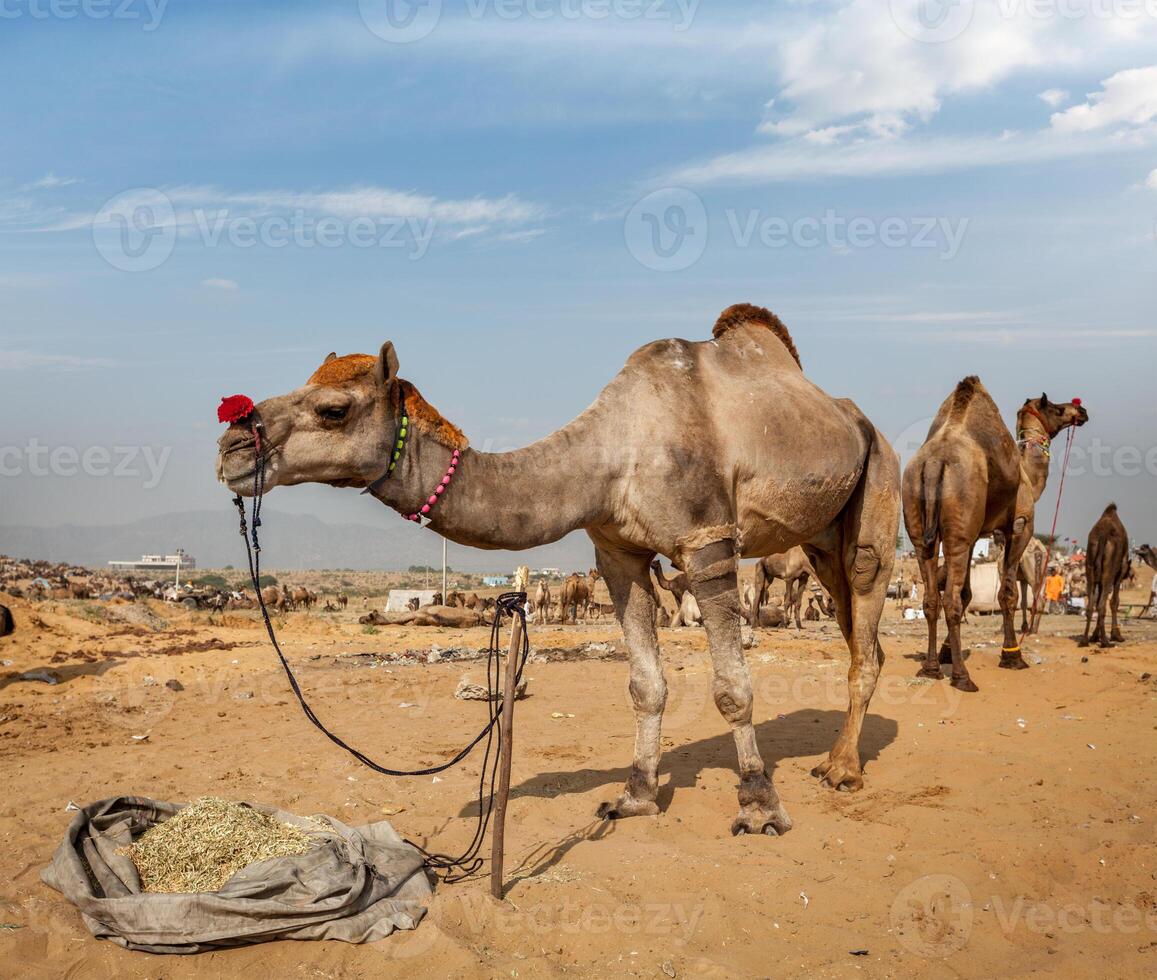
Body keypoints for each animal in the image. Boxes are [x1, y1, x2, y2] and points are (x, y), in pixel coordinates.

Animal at [218, 305, 902, 837]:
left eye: (333, 409)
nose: (232, 444)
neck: (613, 452)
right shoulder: (616, 553)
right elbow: (645, 685)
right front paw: (634, 797)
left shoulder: (707, 541)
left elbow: (733, 688)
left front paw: (759, 806)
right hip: (820, 537)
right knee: (853, 629)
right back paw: (835, 758)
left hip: (878, 485)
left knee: (866, 613)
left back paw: (843, 770)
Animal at [902, 379, 1082, 694]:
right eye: (1057, 408)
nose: (1080, 411)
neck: (1027, 476)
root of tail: (935, 463)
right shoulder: (1018, 527)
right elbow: (1007, 593)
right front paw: (1012, 655)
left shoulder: (975, 534)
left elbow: (968, 591)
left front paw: (947, 652)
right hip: (958, 525)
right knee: (951, 600)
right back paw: (962, 677)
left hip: (920, 522)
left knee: (932, 598)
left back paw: (931, 668)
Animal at [1082, 506, 1129, 652]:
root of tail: (1103, 536)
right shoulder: (1121, 570)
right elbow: (1114, 601)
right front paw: (1117, 635)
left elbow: (1097, 601)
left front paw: (1094, 636)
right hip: (1110, 569)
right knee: (1102, 605)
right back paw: (1105, 642)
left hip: (1090, 564)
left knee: (1091, 605)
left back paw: (1084, 640)